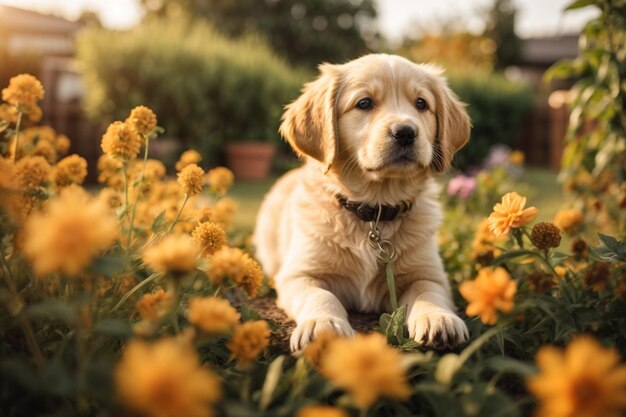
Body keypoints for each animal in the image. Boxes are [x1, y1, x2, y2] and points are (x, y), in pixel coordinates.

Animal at [252, 52, 468, 352]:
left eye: (421, 104)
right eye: (364, 103)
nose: (406, 132)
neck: (374, 210)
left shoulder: (428, 273)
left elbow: (428, 291)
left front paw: (438, 318)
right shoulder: (299, 274)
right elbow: (320, 295)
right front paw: (323, 324)